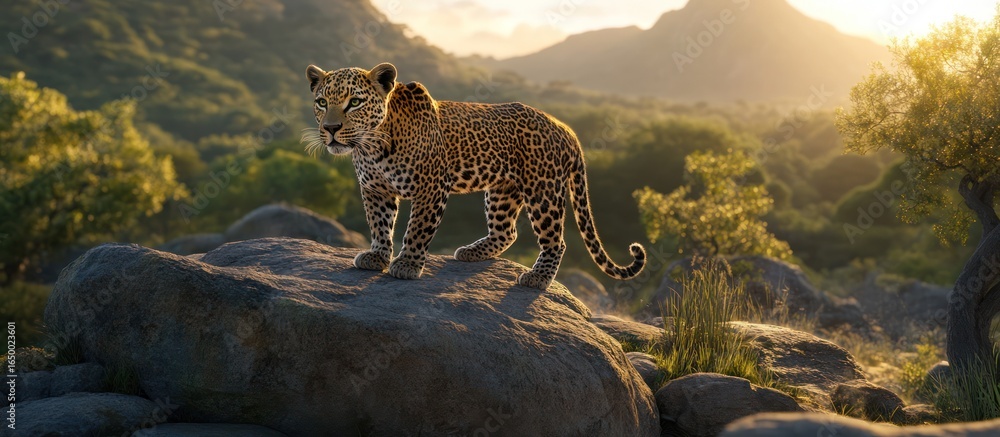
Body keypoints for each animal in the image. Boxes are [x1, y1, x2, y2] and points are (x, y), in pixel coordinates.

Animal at [303, 62, 645, 290]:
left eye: (354, 102)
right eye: (321, 102)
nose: (330, 129)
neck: (372, 145)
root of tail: (565, 128)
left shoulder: (431, 188)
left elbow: (417, 229)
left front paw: (407, 264)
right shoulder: (375, 190)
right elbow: (379, 224)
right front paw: (376, 256)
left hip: (542, 190)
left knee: (556, 241)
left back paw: (536, 278)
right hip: (503, 191)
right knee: (507, 232)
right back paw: (472, 252)